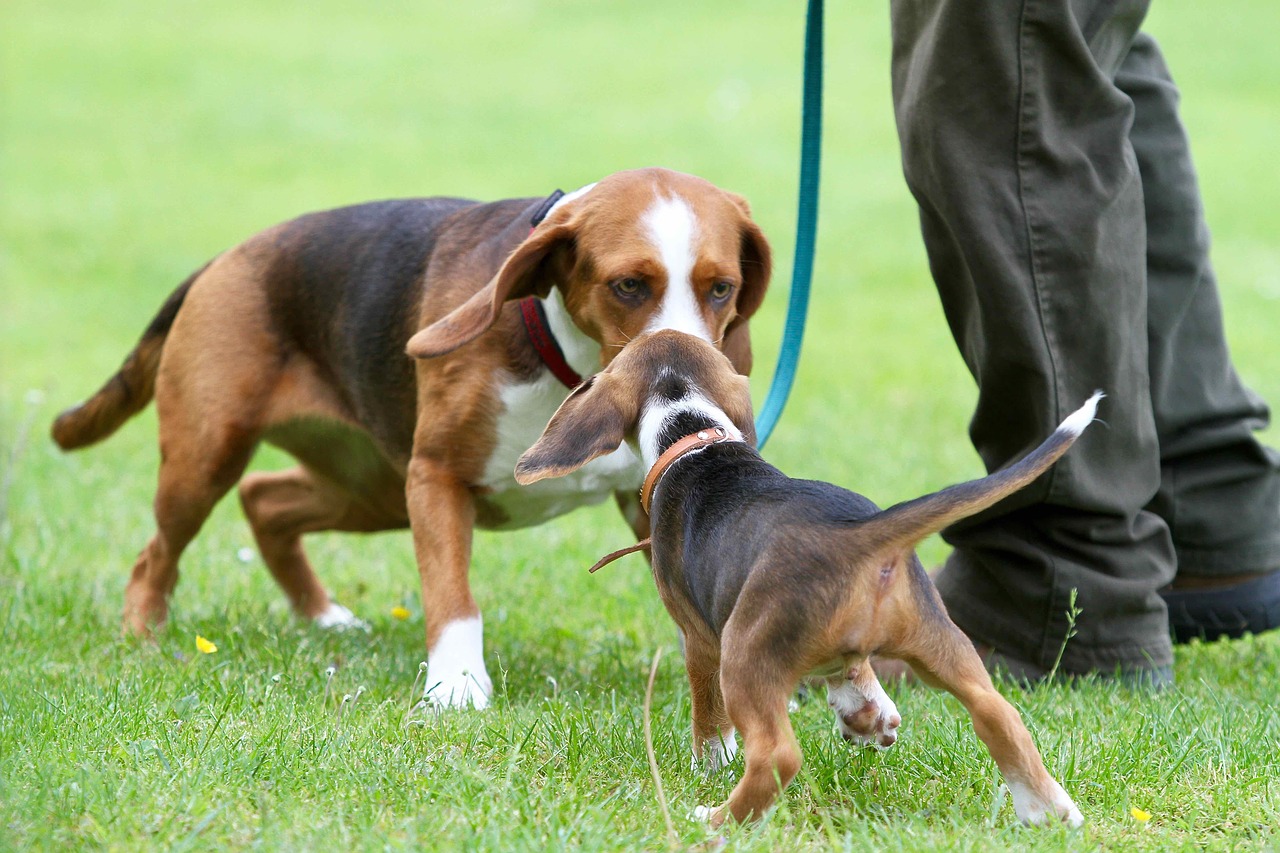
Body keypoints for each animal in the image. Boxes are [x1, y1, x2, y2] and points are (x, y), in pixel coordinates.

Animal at [49, 169, 768, 706]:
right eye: (628, 285)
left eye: (721, 287)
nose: (693, 375)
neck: (565, 359)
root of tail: (224, 258)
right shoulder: (437, 477)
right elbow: (453, 596)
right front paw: (457, 686)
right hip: (208, 461)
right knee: (157, 555)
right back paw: (143, 638)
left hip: (372, 489)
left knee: (266, 501)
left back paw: (321, 615)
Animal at [517, 327, 1090, 824]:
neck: (692, 432)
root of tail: (858, 534)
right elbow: (853, 672)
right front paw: (867, 714)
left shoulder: (697, 638)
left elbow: (709, 718)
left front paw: (709, 766)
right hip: (940, 637)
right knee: (999, 714)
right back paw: (1051, 811)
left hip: (744, 653)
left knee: (776, 756)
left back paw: (716, 819)